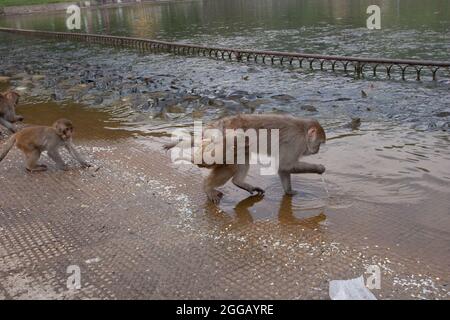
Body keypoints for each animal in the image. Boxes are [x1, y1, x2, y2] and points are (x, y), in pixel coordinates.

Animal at [163, 115, 326, 204]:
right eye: (319, 143)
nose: (318, 150)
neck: (303, 131)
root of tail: (212, 126)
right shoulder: (296, 143)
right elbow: (286, 165)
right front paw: (319, 169)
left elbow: (283, 169)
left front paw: (289, 192)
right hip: (219, 139)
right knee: (233, 144)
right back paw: (205, 182)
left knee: (241, 153)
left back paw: (238, 182)